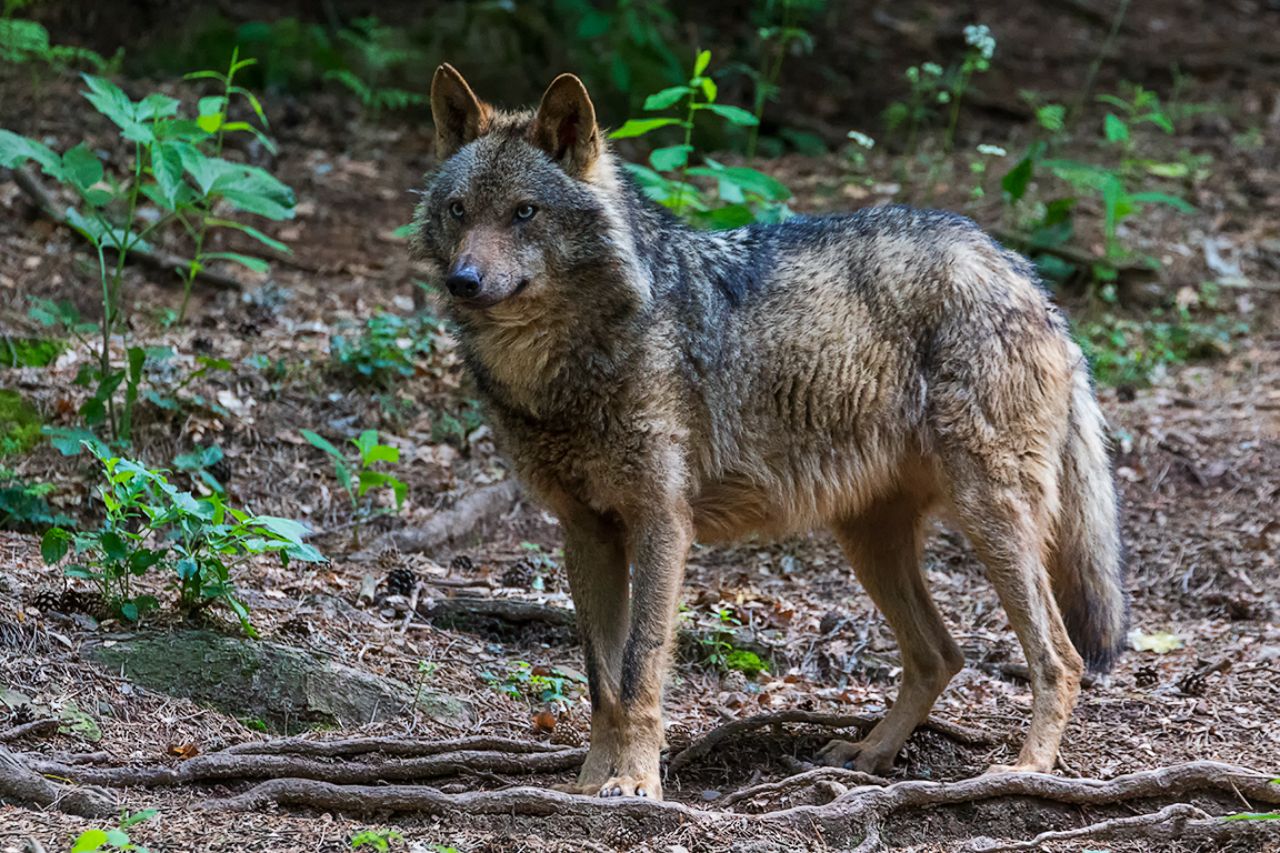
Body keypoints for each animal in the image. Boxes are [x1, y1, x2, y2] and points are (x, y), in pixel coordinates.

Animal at [412, 64, 1128, 800]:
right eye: (460, 210)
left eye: (525, 211)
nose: (463, 280)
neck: (566, 363)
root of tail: (1022, 273)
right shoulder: (585, 530)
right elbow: (601, 683)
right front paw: (588, 784)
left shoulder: (663, 521)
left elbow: (640, 671)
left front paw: (636, 783)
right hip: (869, 539)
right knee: (941, 654)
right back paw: (870, 754)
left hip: (990, 521)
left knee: (1061, 658)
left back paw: (1028, 769)